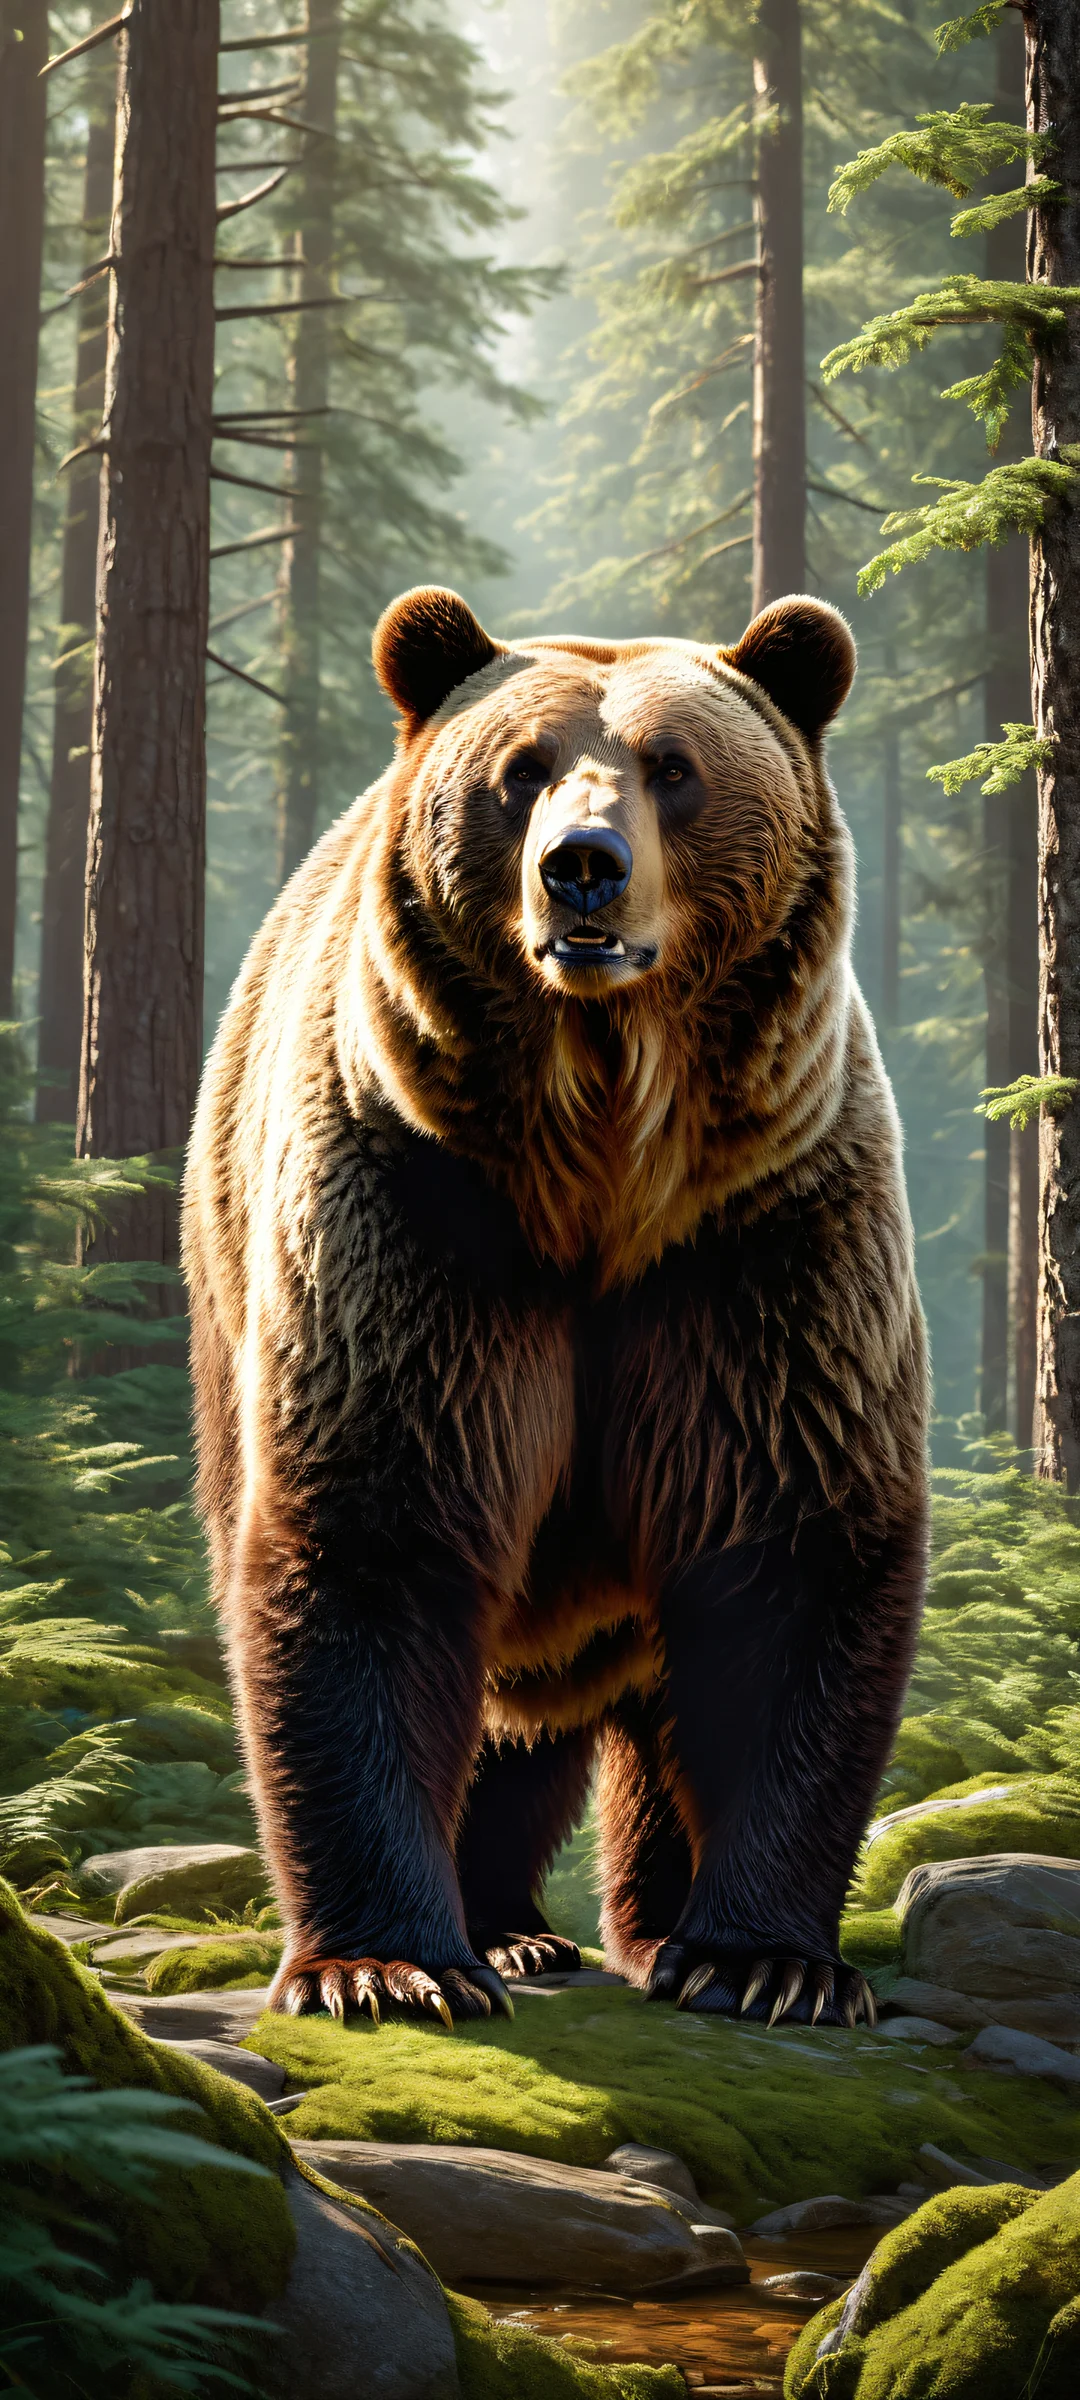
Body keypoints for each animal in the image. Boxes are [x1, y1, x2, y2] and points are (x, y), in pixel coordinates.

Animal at [182, 585, 929, 2030]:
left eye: (675, 768)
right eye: (520, 770)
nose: (582, 866)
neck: (604, 1160)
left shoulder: (763, 1246)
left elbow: (788, 1552)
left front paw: (769, 1962)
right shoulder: (417, 1215)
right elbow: (378, 1534)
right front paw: (387, 1965)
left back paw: (637, 1929)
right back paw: (508, 1932)